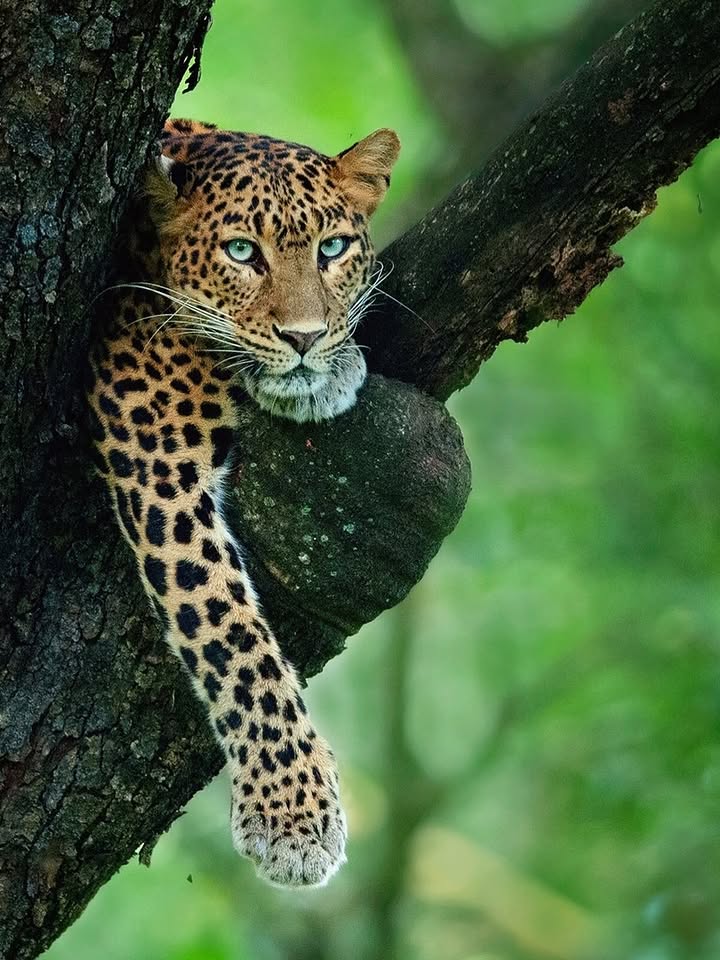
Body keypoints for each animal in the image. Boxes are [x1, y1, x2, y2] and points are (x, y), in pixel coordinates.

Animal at [87, 118, 400, 888]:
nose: (305, 339)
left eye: (331, 249)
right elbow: (230, 634)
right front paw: (293, 815)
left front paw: (335, 367)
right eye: (240, 253)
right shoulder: (158, 463)